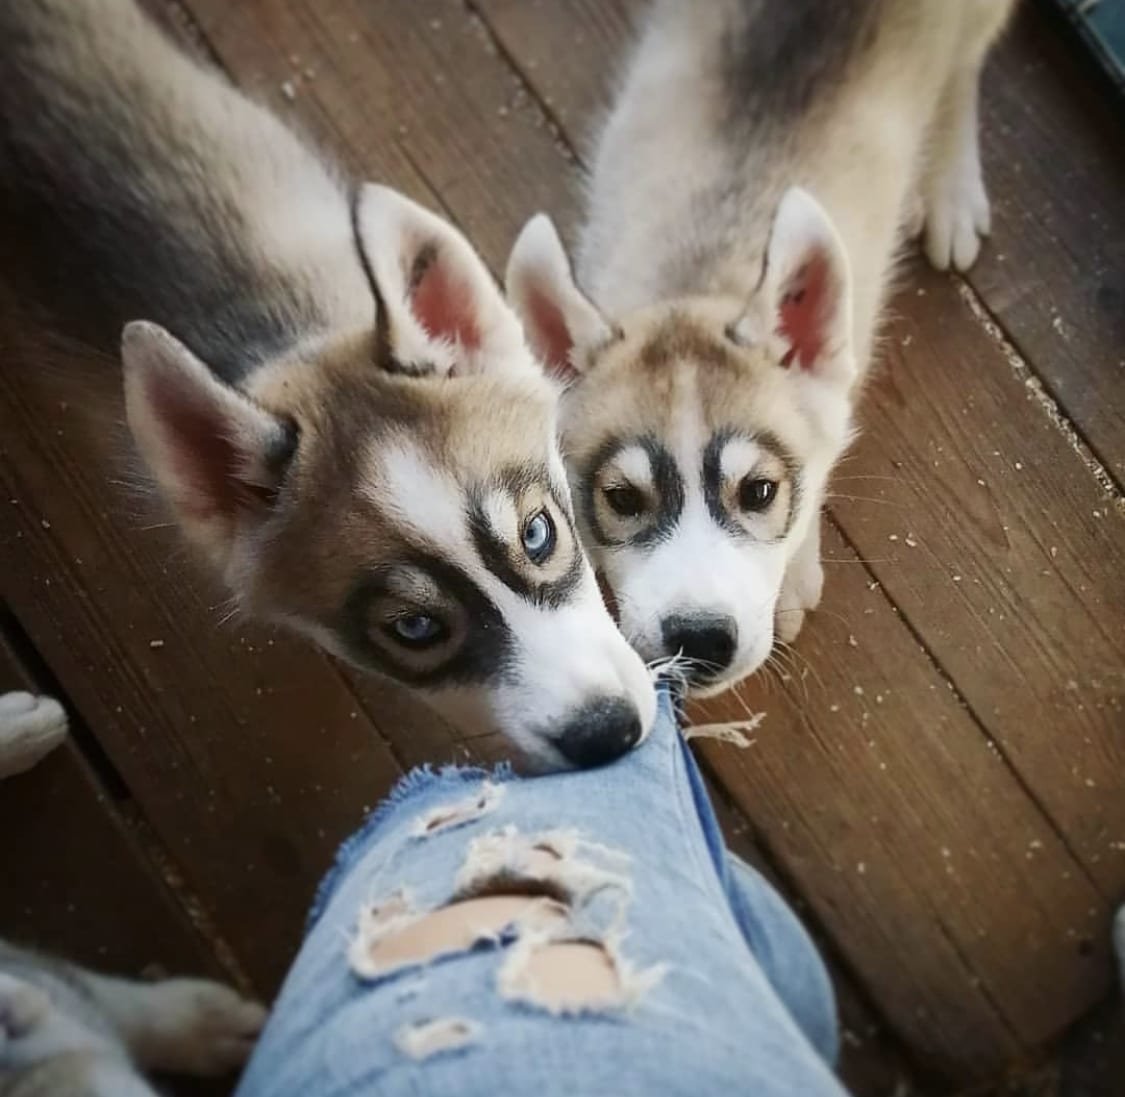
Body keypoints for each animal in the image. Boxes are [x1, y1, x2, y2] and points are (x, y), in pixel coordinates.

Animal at [506, 0, 1017, 693]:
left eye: (759, 493)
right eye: (622, 499)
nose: (699, 641)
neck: (703, 274)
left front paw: (794, 573)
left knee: (965, 64)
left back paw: (951, 184)